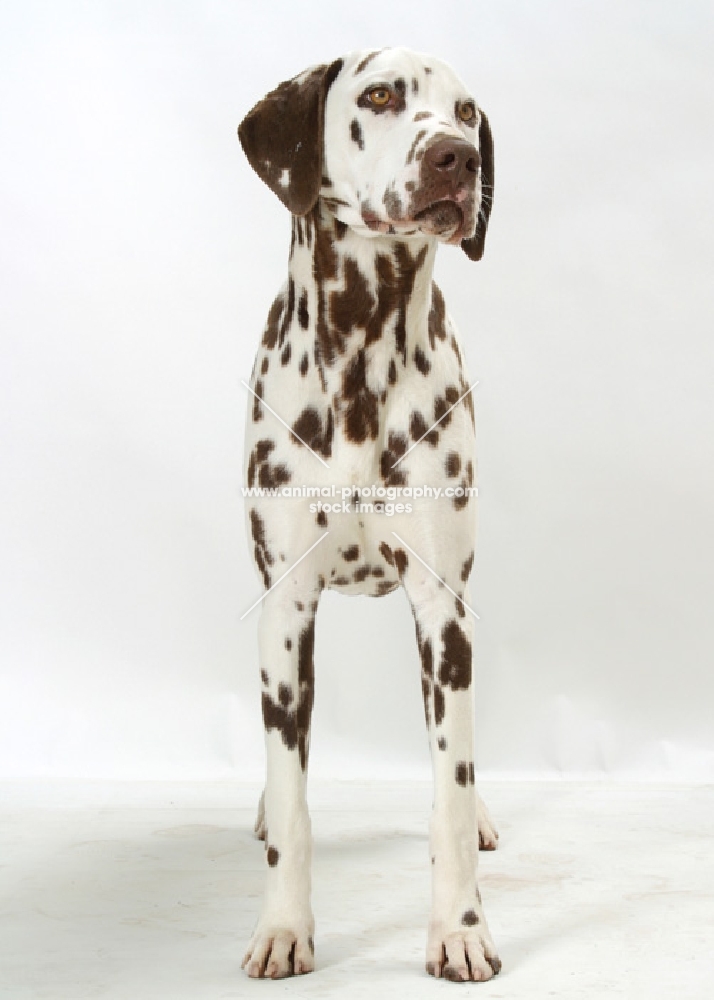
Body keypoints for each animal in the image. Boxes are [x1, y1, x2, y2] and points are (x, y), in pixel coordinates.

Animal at [236, 48, 498, 984]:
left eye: (467, 109)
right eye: (380, 95)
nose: (460, 157)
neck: (361, 346)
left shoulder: (443, 613)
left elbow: (449, 787)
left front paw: (460, 930)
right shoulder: (285, 612)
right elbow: (294, 794)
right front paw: (283, 927)